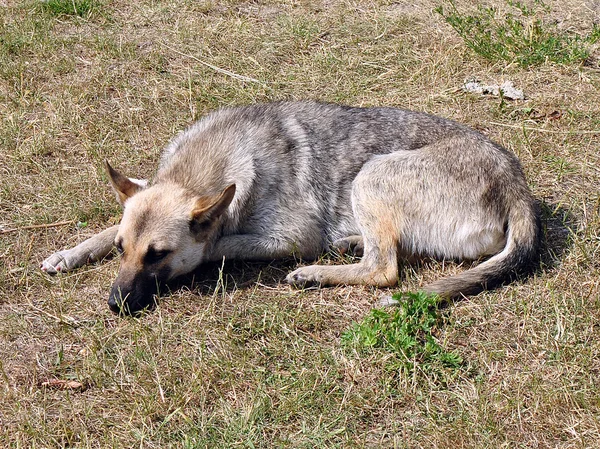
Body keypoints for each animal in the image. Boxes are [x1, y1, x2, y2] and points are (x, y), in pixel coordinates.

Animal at [41, 100, 540, 316]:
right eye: (125, 249)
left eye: (158, 256)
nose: (113, 305)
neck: (200, 169)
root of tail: (516, 184)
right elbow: (106, 228)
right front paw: (70, 253)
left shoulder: (292, 235)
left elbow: (216, 245)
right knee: (393, 253)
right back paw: (347, 244)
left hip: (371, 176)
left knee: (384, 269)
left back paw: (315, 272)